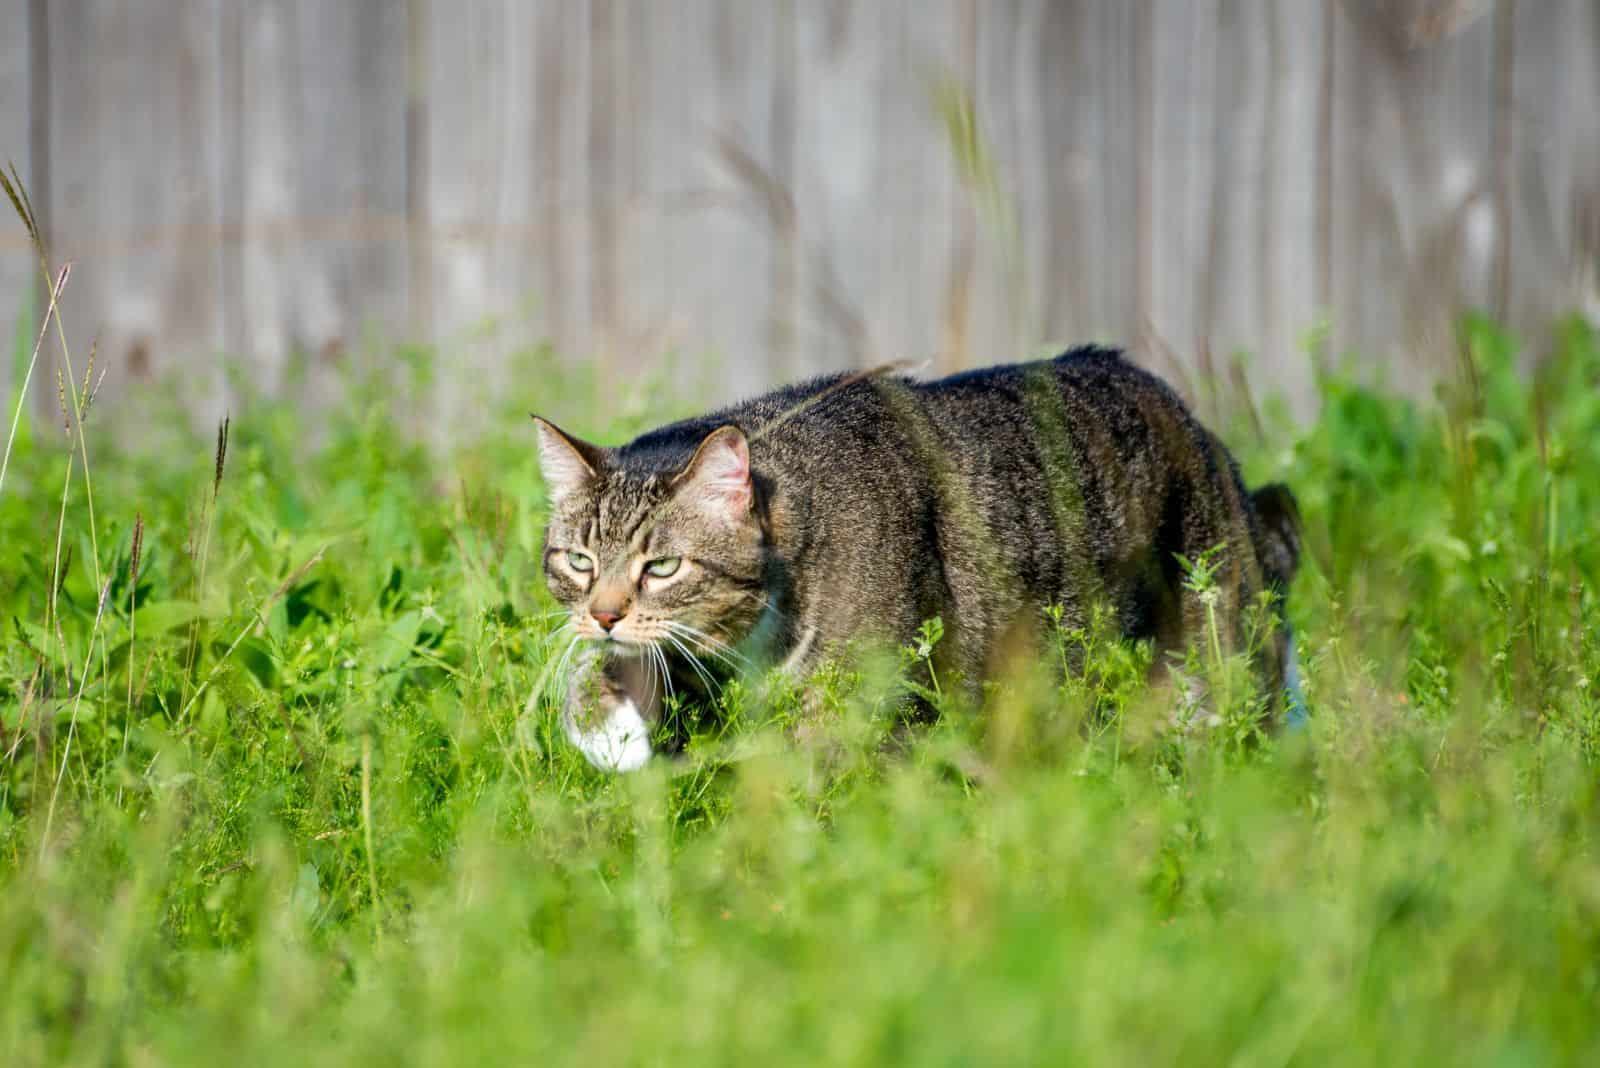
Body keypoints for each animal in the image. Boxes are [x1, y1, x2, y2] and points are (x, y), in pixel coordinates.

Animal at [534, 346, 1299, 770]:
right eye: (578, 562)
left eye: (662, 567)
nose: (603, 614)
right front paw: (604, 722)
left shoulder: (861, 709)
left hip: (1220, 659)